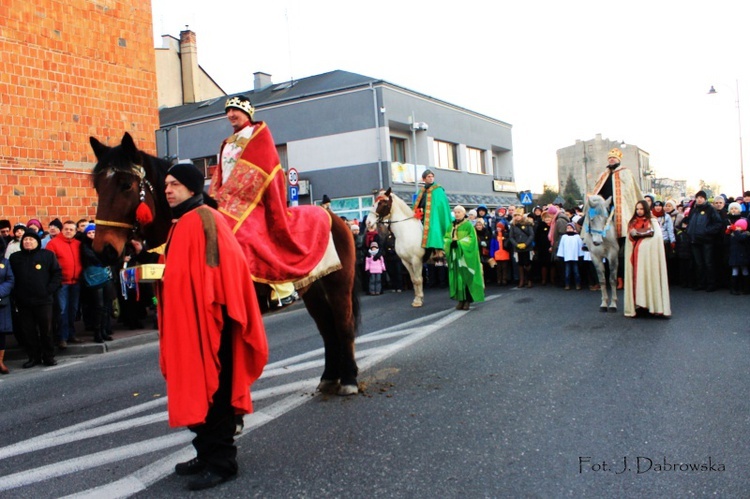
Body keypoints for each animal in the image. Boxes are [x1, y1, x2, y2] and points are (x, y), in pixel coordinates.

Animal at [89, 132, 360, 394]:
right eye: (97, 187)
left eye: (126, 185)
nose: (104, 249)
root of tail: (335, 217)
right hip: (313, 288)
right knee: (327, 329)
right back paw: (329, 377)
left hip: (339, 283)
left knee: (343, 325)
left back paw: (349, 379)